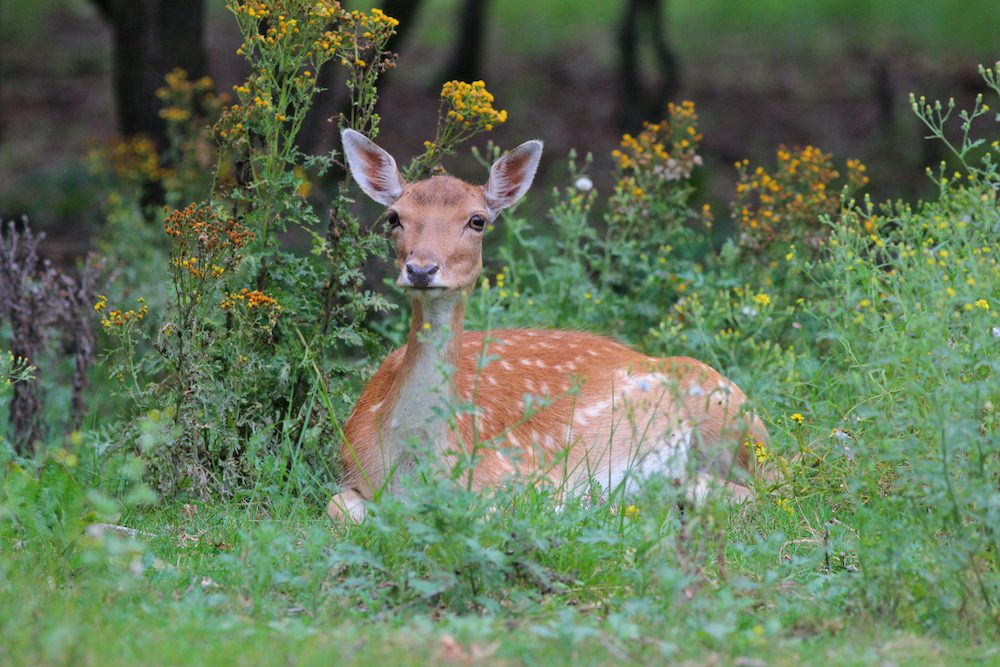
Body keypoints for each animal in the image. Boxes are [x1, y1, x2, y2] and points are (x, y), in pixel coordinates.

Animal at [324, 130, 768, 524]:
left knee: (760, 489)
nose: (421, 269)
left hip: (735, 419)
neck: (412, 466)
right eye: (394, 218)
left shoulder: (514, 474)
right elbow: (338, 508)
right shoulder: (349, 471)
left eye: (477, 220)